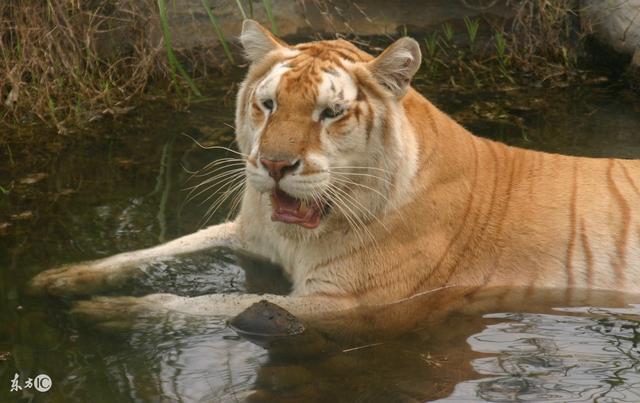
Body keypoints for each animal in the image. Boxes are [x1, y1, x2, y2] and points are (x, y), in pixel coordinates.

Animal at [28, 19, 640, 326]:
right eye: (269, 104)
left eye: (330, 112)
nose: (275, 165)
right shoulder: (249, 234)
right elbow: (164, 247)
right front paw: (60, 278)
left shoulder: (342, 302)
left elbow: (208, 305)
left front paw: (108, 312)